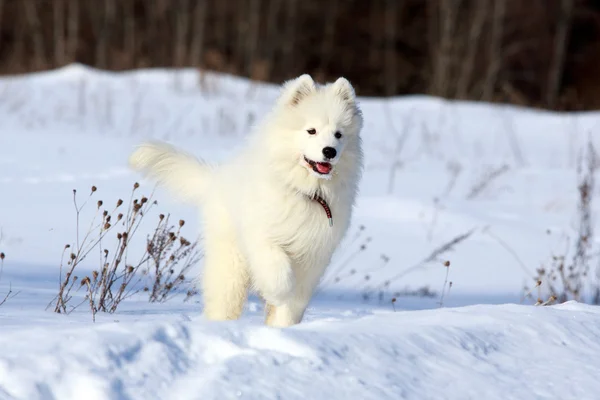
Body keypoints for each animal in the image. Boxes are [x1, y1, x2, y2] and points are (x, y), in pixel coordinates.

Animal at [129, 75, 364, 328]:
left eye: (339, 134)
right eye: (311, 130)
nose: (329, 151)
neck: (306, 191)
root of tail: (216, 178)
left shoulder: (314, 256)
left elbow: (294, 302)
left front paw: (283, 326)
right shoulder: (262, 237)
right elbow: (277, 271)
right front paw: (279, 291)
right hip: (231, 264)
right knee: (223, 298)